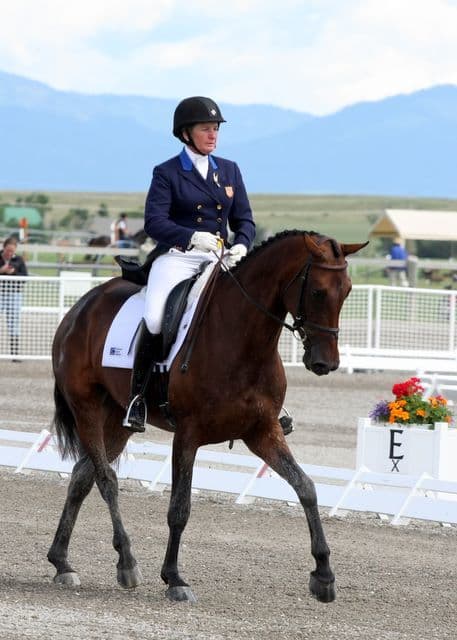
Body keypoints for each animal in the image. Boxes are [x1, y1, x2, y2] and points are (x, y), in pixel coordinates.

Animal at [48, 230, 367, 604]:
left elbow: (306, 487)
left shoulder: (263, 431)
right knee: (106, 479)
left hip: (118, 419)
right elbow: (179, 508)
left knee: (82, 476)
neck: (243, 340)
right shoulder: (188, 434)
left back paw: (62, 563)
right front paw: (175, 578)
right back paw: (126, 561)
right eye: (317, 291)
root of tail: (81, 307)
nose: (325, 363)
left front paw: (324, 574)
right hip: (85, 407)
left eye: (347, 290)